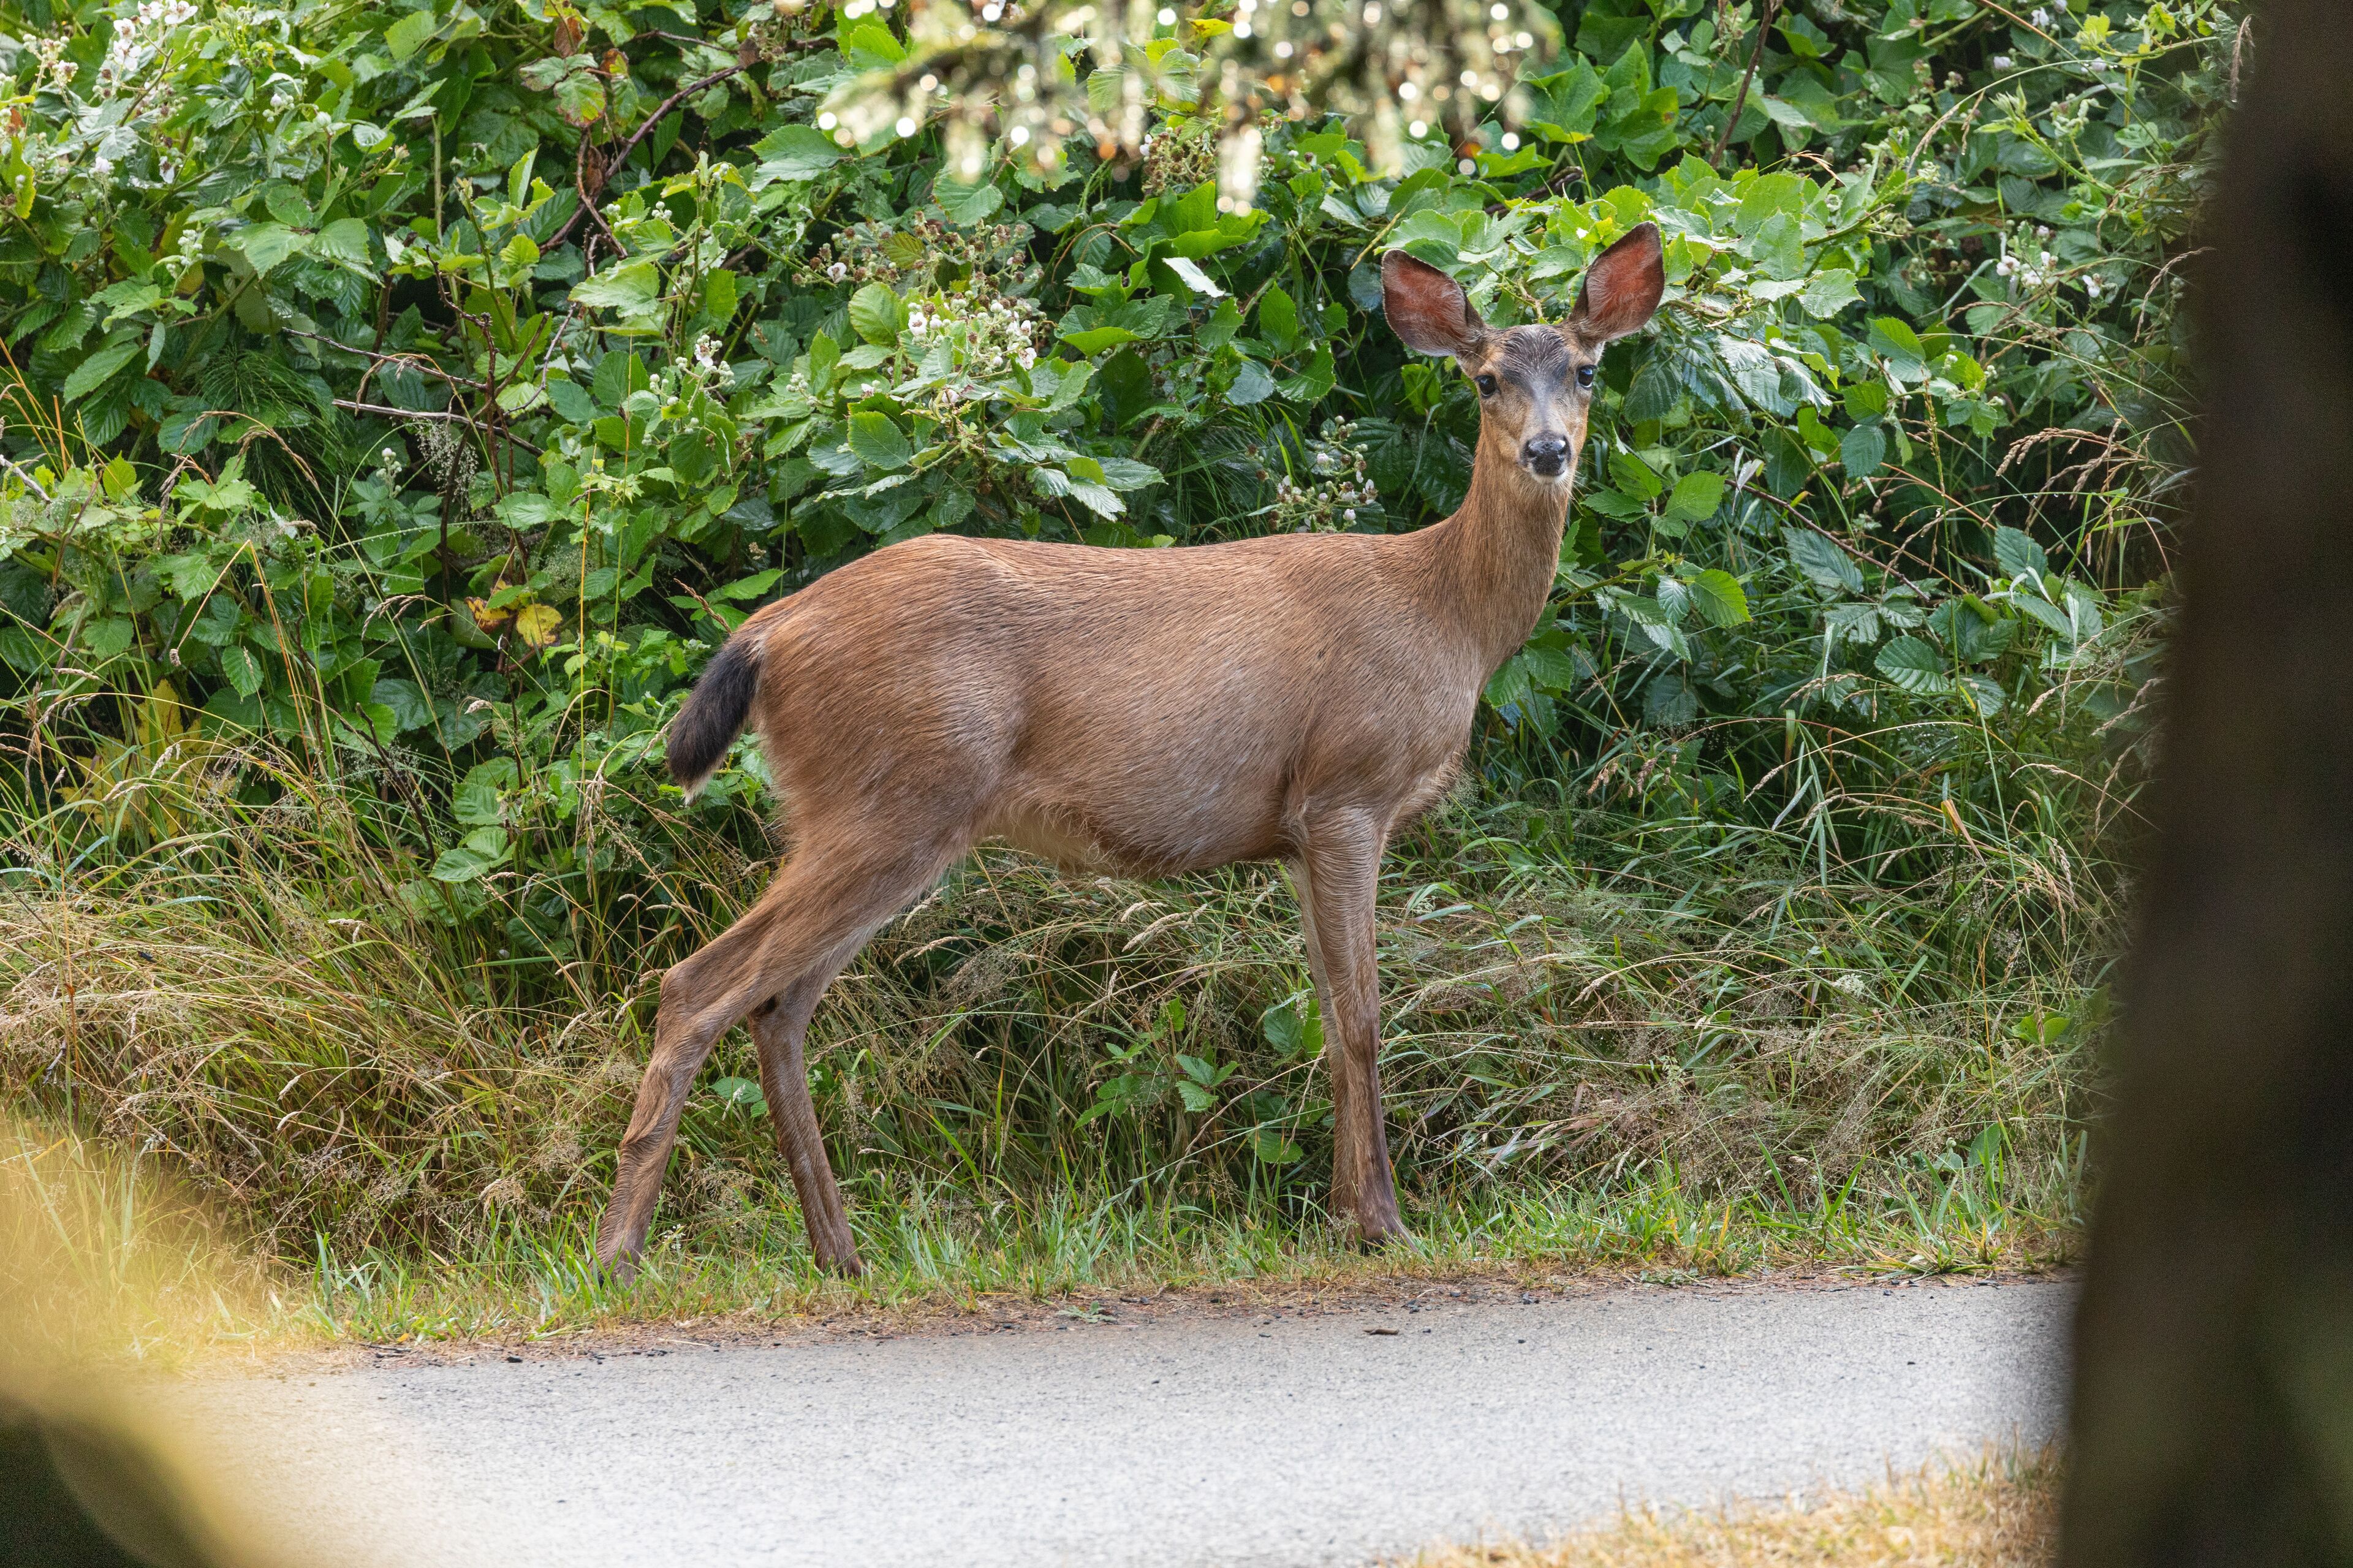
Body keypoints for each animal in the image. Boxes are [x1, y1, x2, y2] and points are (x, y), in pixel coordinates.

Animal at [593, 224, 1667, 1279]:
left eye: (1585, 369)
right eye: (1484, 379)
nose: (1547, 450)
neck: (1446, 612)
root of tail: (768, 633)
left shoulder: (1296, 831)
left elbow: (1327, 1016)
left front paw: (1339, 1213)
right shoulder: (1348, 791)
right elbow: (1363, 1017)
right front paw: (1383, 1221)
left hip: (873, 816)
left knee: (779, 1005)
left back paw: (840, 1251)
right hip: (891, 800)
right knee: (698, 985)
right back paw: (619, 1253)